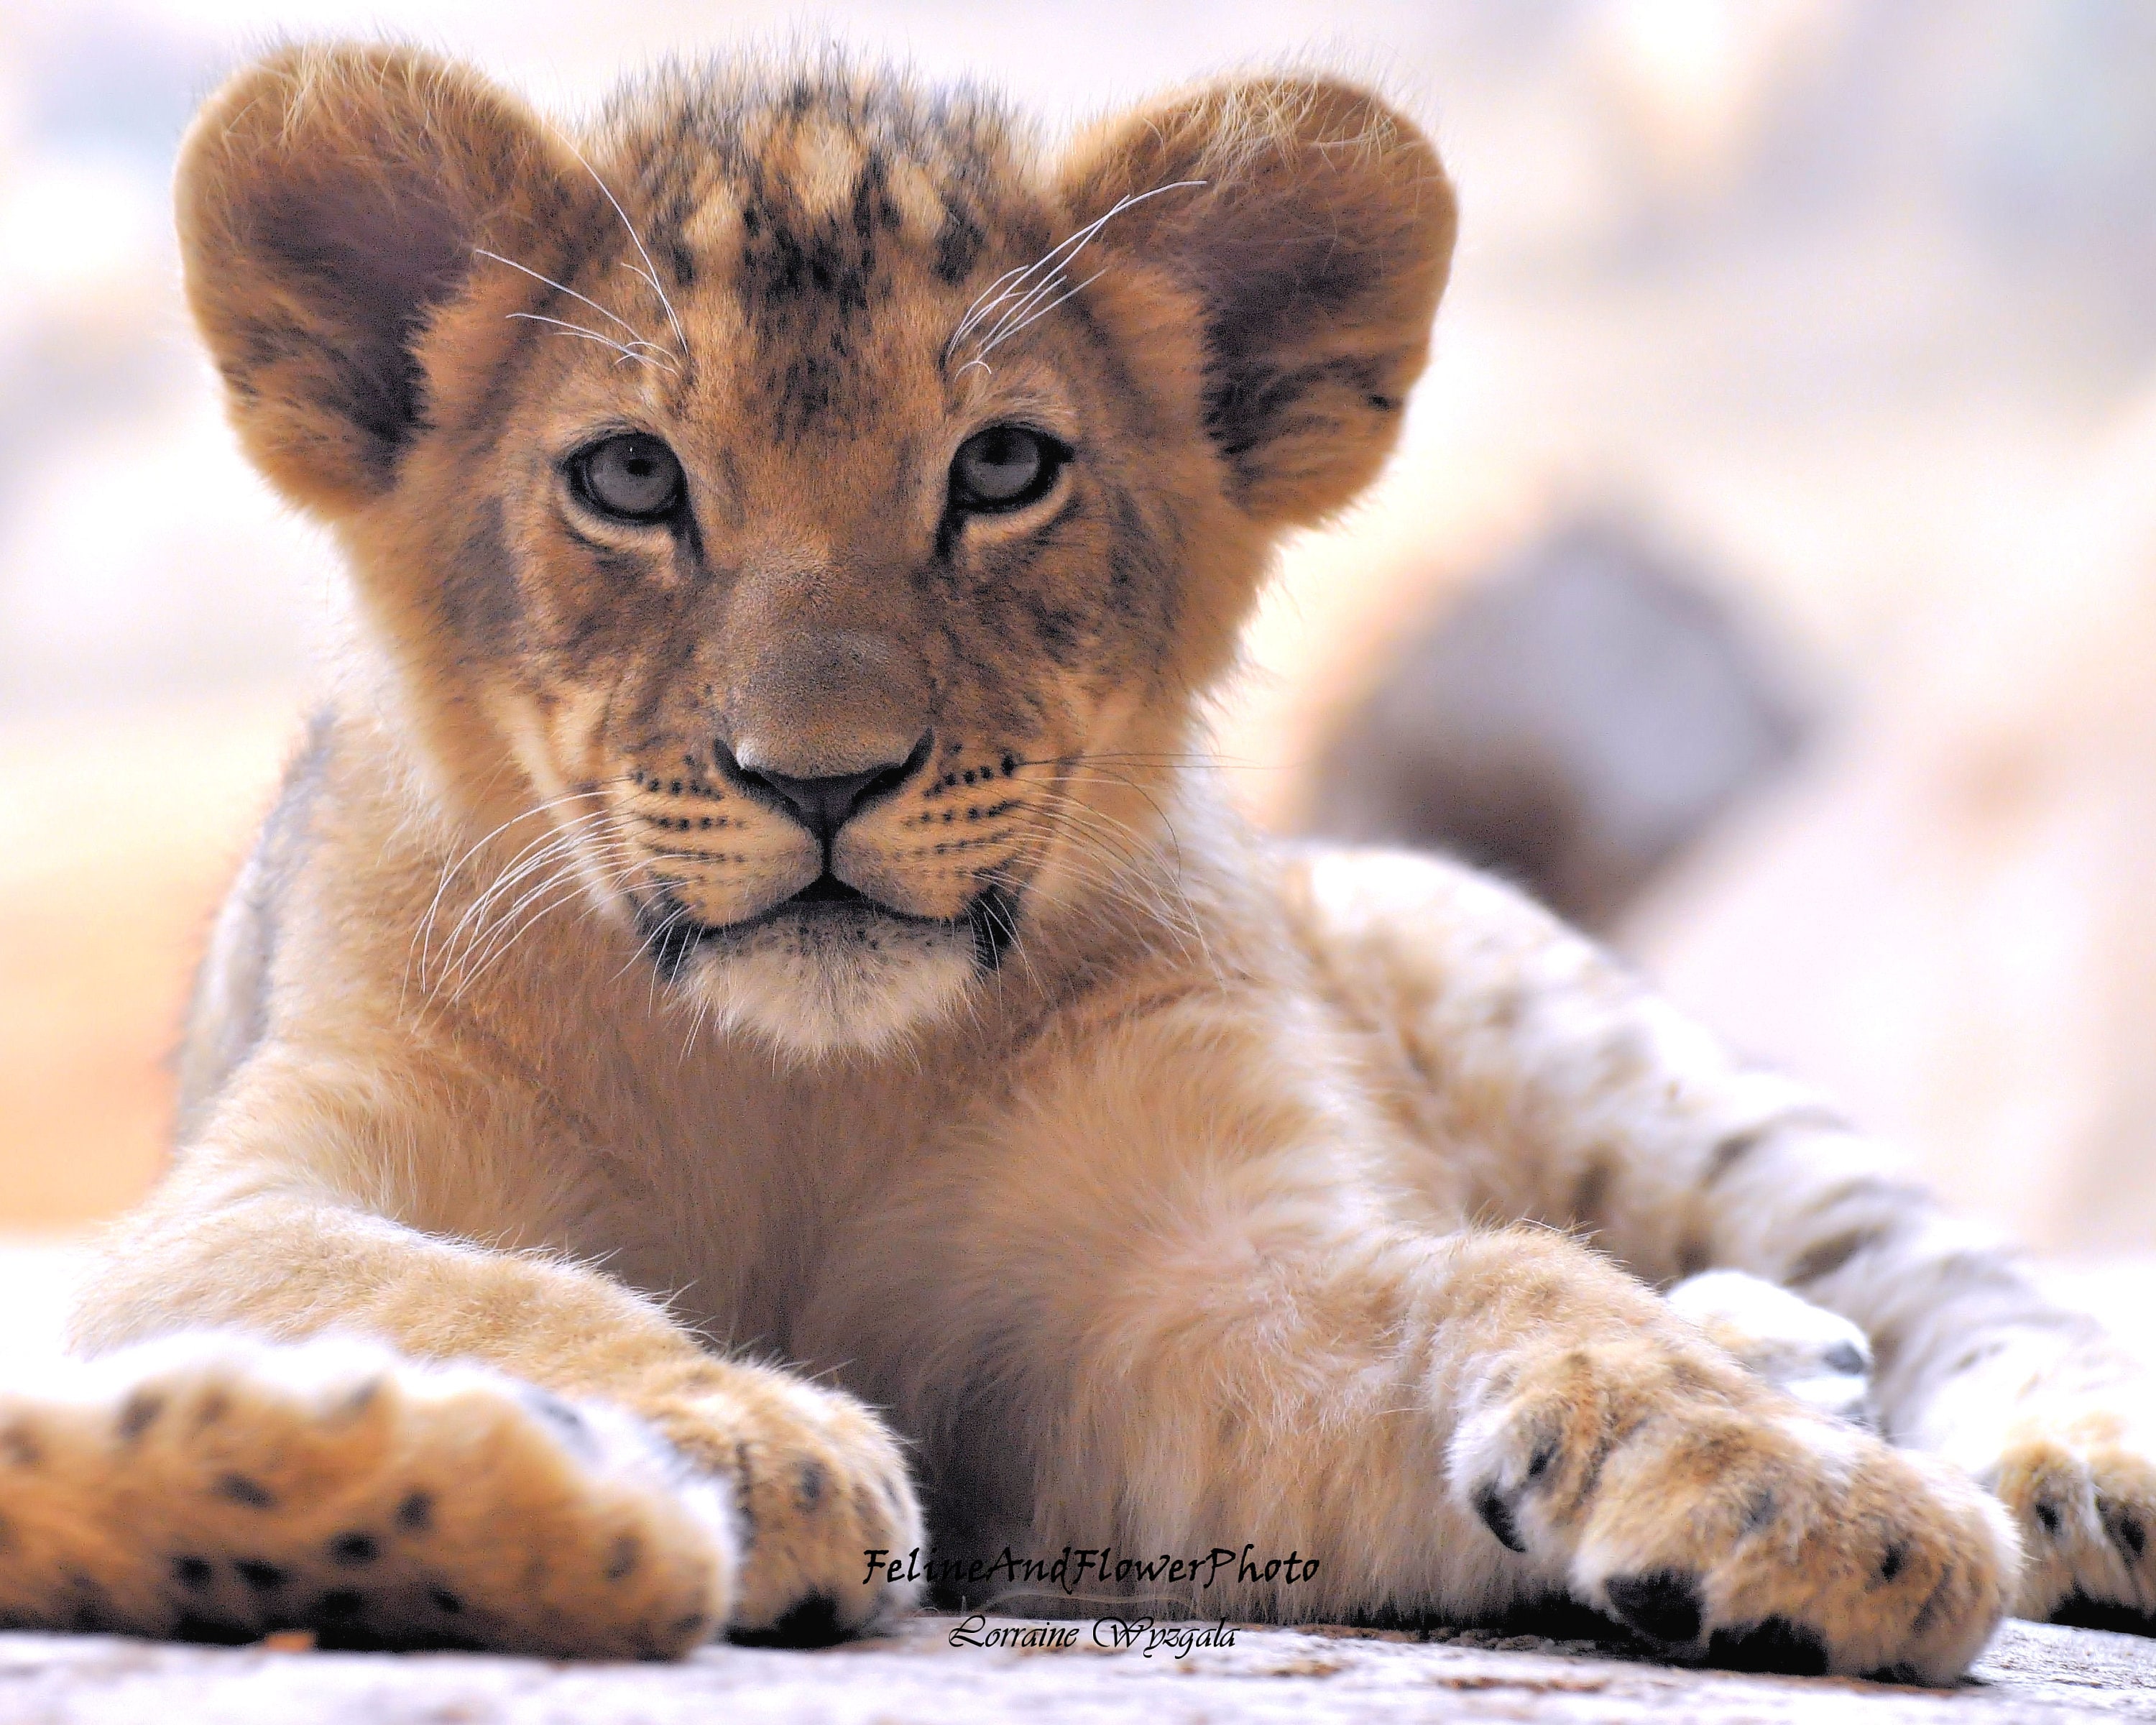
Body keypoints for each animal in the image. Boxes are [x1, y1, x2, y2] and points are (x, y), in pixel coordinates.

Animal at [10, 39, 2153, 1679]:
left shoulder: (1161, 1299)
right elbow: (467, 1293)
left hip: (1593, 1036)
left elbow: (1499, 1281)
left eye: (1001, 469)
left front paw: (1792, 1490)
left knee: (1936, 1268)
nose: (823, 775)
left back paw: (2013, 1449)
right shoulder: (224, 1217)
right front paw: (738, 1433)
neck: (793, 1084)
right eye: (627, 477)